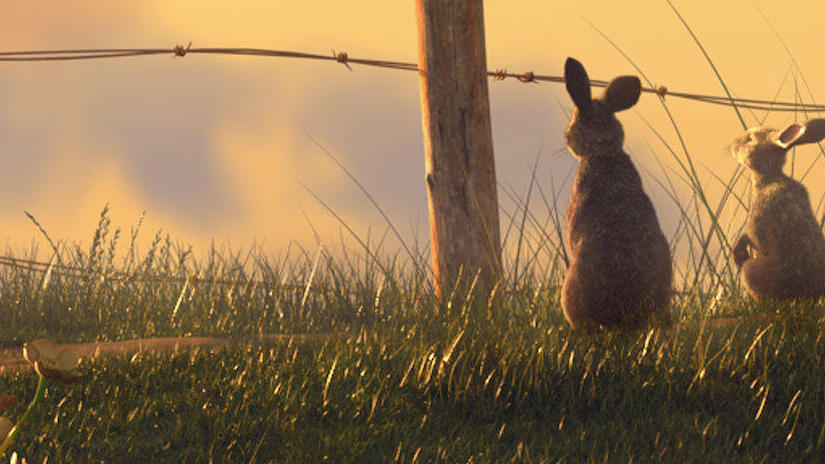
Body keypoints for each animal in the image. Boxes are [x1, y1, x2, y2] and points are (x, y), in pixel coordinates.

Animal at [732, 118, 824, 300]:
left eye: (750, 139)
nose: (733, 145)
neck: (770, 177)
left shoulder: (756, 219)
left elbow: (752, 237)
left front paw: (739, 253)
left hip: (750, 272)